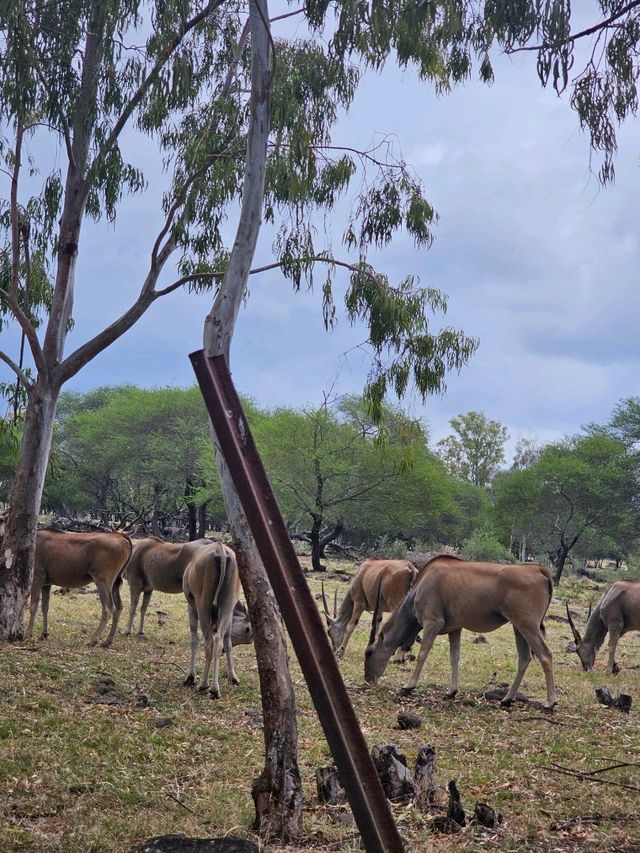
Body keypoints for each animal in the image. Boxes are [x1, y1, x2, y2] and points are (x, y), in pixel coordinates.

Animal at [184, 544, 246, 696]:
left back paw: (204, 685)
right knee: (219, 640)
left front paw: (190, 677)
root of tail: (221, 550)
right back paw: (215, 688)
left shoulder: (192, 608)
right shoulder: (229, 615)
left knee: (209, 641)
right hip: (227, 604)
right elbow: (228, 641)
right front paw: (233, 676)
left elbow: (194, 640)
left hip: (202, 605)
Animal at [362, 556, 556, 708]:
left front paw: (408, 686)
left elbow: (423, 654)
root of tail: (539, 570)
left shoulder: (432, 623)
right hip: (518, 626)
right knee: (524, 658)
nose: (368, 679)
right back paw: (507, 699)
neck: (419, 587)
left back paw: (550, 702)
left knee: (545, 655)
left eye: (369, 653)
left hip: (527, 625)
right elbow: (454, 656)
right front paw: (451, 691)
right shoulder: (455, 629)